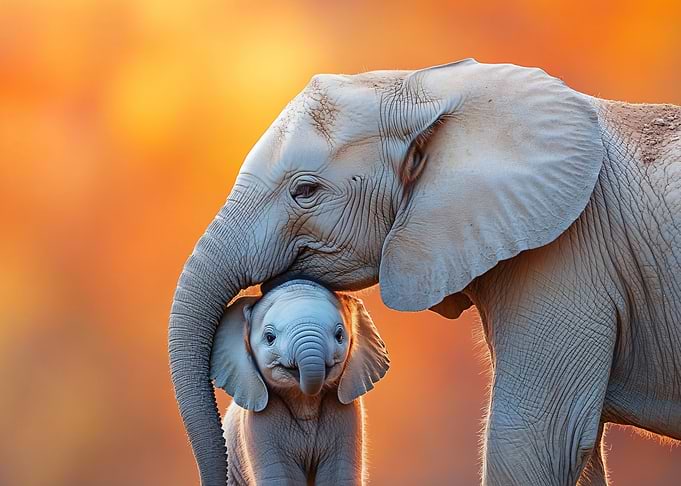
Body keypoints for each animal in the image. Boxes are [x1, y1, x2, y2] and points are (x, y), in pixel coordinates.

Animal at [209, 279, 389, 485]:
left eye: (339, 336)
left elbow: (338, 476)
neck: (304, 398)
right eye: (270, 338)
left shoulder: (348, 416)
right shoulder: (258, 425)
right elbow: (281, 478)